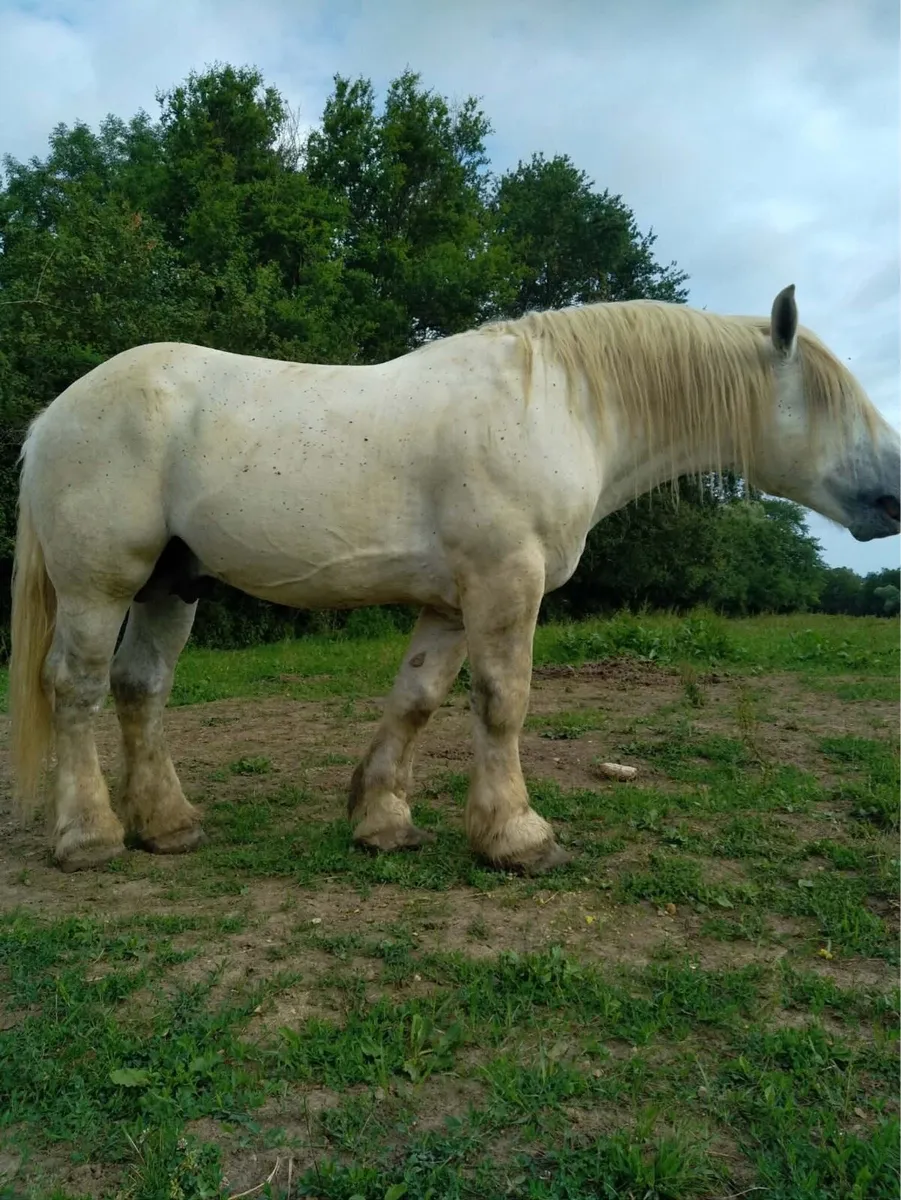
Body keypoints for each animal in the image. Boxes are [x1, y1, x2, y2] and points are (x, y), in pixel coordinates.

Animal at [8, 285, 899, 874]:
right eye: (832, 402)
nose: (893, 494)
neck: (557, 407)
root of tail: (55, 414)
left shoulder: (446, 603)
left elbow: (416, 701)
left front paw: (380, 821)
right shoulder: (504, 584)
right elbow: (502, 703)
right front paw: (516, 835)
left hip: (172, 584)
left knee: (140, 689)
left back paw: (167, 827)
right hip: (100, 586)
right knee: (76, 690)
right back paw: (89, 837)